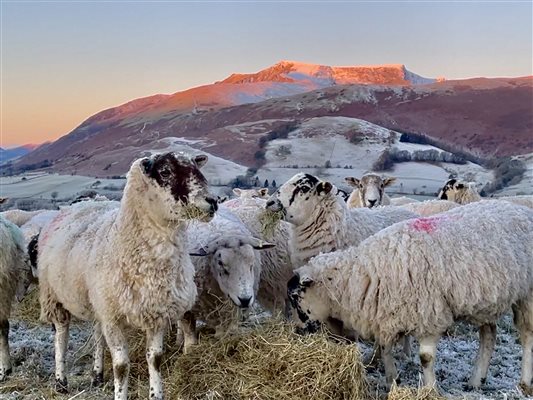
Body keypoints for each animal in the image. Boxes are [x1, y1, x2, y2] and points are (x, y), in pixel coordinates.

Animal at [36, 152, 217, 400]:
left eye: (195, 168)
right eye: (165, 172)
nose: (213, 201)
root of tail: (82, 203)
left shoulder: (155, 312)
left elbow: (156, 359)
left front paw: (156, 394)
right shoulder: (114, 317)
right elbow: (121, 366)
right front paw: (120, 393)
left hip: (98, 302)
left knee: (97, 334)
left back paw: (97, 374)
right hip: (54, 296)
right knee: (61, 335)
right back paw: (61, 381)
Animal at [288, 202, 532, 390]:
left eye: (295, 297)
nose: (298, 333)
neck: (361, 274)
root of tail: (522, 210)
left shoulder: (429, 313)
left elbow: (425, 358)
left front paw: (430, 389)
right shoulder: (386, 316)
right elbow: (385, 348)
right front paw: (392, 379)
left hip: (527, 295)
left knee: (527, 334)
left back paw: (524, 382)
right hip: (486, 301)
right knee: (489, 335)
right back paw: (476, 380)